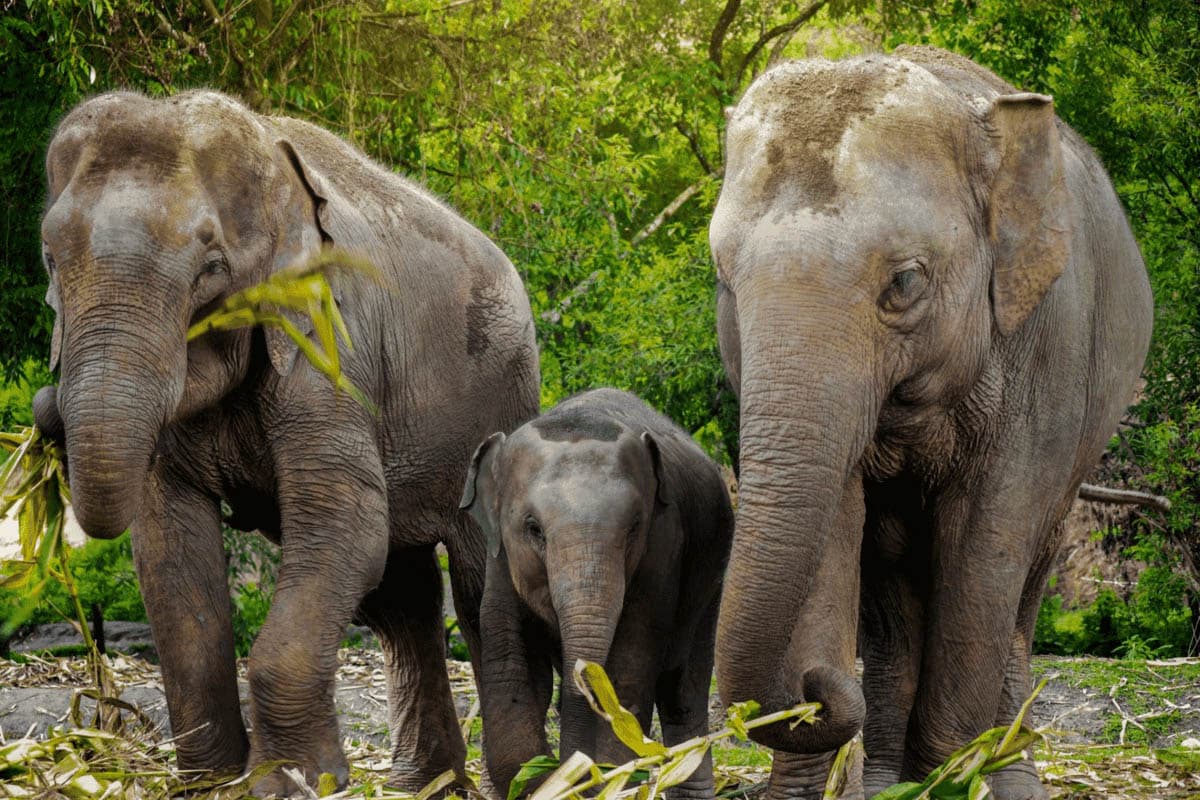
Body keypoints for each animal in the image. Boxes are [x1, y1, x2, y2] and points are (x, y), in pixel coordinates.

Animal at [33, 90, 539, 794]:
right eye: (51, 258)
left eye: (211, 266)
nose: (43, 411)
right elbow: (168, 544)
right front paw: (211, 782)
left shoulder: (331, 340)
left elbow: (344, 523)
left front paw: (290, 783)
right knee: (400, 595)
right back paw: (421, 784)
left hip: (497, 398)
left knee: (474, 585)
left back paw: (521, 780)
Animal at [459, 388, 734, 799]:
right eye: (533, 528)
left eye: (634, 527)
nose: (571, 768)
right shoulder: (501, 559)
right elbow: (513, 662)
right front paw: (541, 779)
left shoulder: (662, 549)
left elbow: (628, 666)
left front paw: (601, 776)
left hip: (712, 569)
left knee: (684, 688)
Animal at [708, 47, 1153, 799]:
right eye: (722, 276)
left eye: (906, 282)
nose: (816, 686)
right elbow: (836, 529)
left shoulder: (1047, 345)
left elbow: (984, 546)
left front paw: (949, 782)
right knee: (892, 578)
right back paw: (892, 777)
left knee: (1023, 582)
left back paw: (1002, 775)